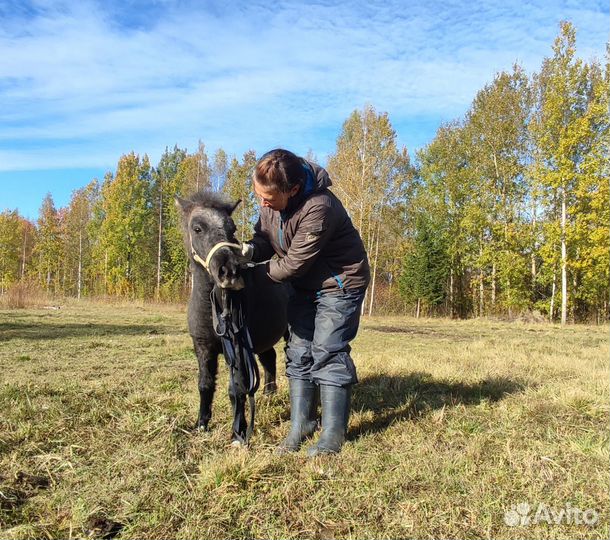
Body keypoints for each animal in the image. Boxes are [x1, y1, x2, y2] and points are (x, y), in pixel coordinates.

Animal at [173, 192, 288, 446]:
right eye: (197, 228)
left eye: (232, 229)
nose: (229, 272)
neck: (213, 309)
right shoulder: (202, 346)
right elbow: (205, 384)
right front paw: (201, 424)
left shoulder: (236, 346)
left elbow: (237, 389)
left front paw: (239, 433)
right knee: (269, 359)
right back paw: (269, 395)